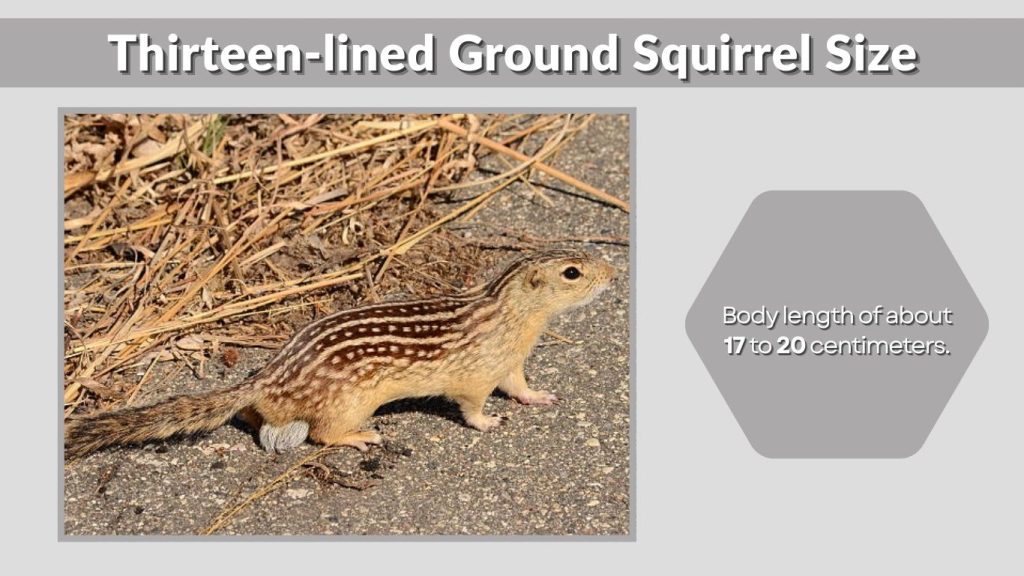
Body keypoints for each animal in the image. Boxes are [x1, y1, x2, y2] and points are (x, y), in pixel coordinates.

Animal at [65, 249, 616, 459]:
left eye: (584, 256)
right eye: (573, 272)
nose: (613, 273)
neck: (505, 311)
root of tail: (266, 378)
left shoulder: (511, 364)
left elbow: (521, 387)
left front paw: (541, 398)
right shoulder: (477, 375)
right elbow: (473, 406)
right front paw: (488, 423)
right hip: (348, 403)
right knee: (322, 435)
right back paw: (361, 437)